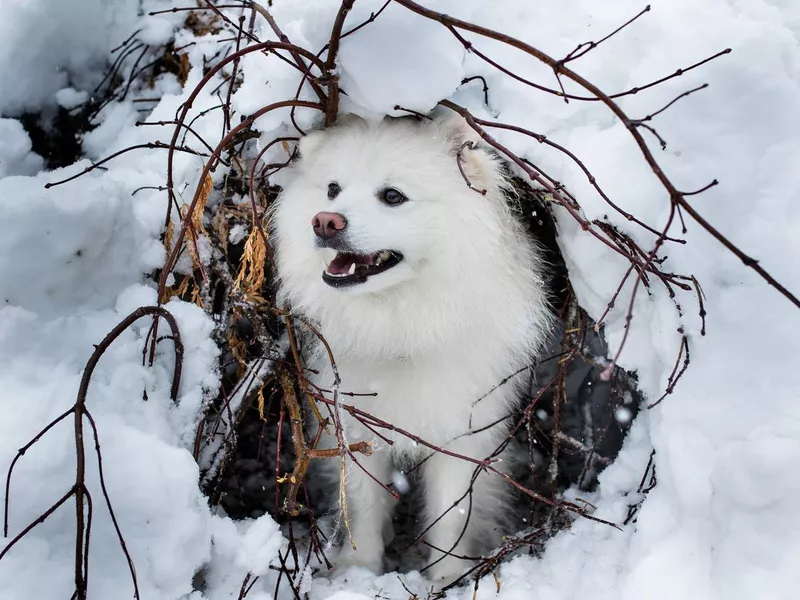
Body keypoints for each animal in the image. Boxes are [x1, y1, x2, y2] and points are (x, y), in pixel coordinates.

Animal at [272, 112, 552, 580]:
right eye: (332, 189)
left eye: (393, 196)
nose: (325, 221)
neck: (401, 324)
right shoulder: (357, 428)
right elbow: (363, 503)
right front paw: (358, 570)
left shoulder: (462, 434)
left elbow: (453, 513)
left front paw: (447, 578)